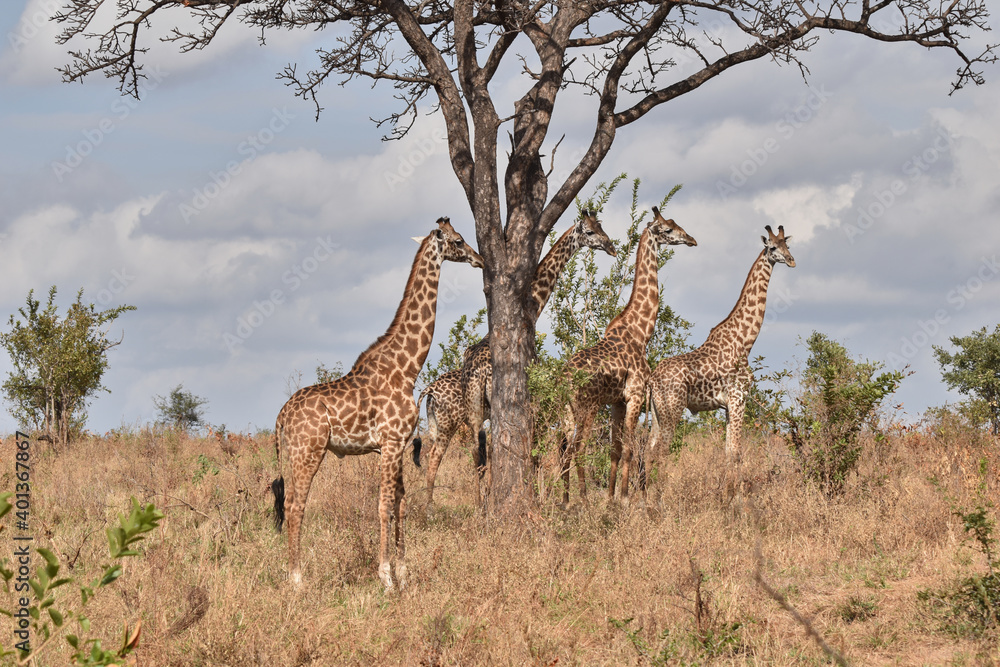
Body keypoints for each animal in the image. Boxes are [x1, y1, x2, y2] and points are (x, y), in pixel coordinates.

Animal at [270, 218, 483, 590]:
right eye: (458, 240)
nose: (479, 259)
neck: (407, 368)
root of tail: (282, 415)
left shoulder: (396, 445)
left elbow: (399, 503)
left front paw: (403, 572)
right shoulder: (391, 441)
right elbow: (384, 506)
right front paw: (385, 577)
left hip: (298, 453)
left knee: (292, 502)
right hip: (308, 451)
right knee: (296, 505)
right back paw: (297, 579)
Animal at [441, 211, 616, 508]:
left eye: (601, 226)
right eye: (590, 232)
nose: (612, 246)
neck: (533, 309)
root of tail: (478, 373)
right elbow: (535, 450)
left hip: (473, 407)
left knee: (477, 451)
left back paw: (481, 503)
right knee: (498, 447)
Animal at [559, 207, 697, 506]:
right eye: (668, 229)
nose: (691, 239)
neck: (640, 331)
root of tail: (564, 380)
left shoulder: (616, 402)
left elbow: (614, 448)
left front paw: (610, 499)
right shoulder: (634, 394)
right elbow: (631, 448)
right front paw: (625, 499)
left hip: (566, 409)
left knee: (562, 448)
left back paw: (564, 500)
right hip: (587, 406)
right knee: (578, 448)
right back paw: (583, 499)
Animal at [646, 225, 795, 484]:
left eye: (787, 245)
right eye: (773, 247)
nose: (791, 260)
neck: (745, 341)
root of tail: (653, 379)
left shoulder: (728, 406)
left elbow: (728, 453)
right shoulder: (738, 398)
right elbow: (736, 454)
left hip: (657, 411)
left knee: (647, 450)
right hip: (672, 408)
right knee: (660, 452)